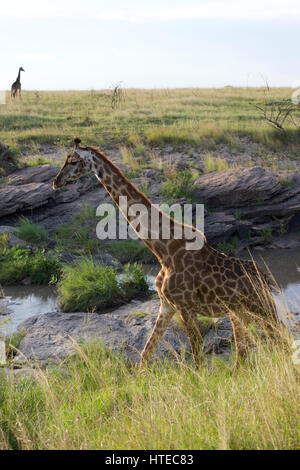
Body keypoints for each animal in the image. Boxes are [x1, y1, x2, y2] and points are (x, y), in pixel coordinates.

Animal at [52, 137, 280, 368]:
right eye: (65, 160)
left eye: (73, 161)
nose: (56, 181)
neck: (164, 251)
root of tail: (265, 278)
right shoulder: (166, 307)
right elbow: (145, 355)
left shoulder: (186, 308)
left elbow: (198, 360)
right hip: (239, 314)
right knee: (243, 354)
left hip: (260, 310)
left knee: (278, 342)